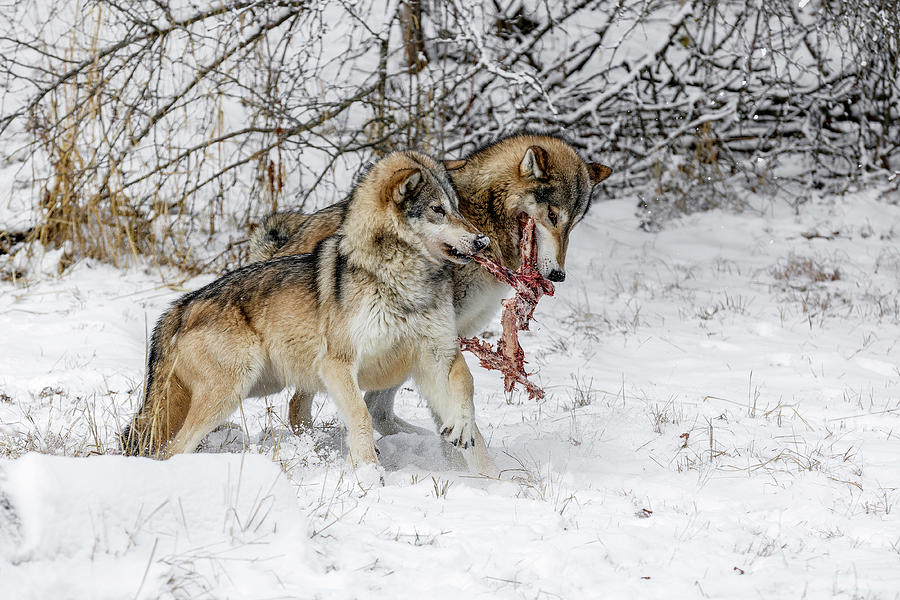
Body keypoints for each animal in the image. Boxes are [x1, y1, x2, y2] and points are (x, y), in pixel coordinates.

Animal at [121, 150, 492, 468]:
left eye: (457, 208)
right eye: (437, 210)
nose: (482, 241)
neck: (400, 280)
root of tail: (181, 306)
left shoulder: (438, 354)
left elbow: (468, 382)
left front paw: (474, 454)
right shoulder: (338, 365)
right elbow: (361, 416)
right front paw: (371, 476)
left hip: (253, 387)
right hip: (232, 391)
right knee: (173, 449)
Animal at [253, 134, 620, 438]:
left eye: (573, 225)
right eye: (553, 216)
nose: (558, 275)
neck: (487, 216)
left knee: (371, 409)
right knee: (303, 406)